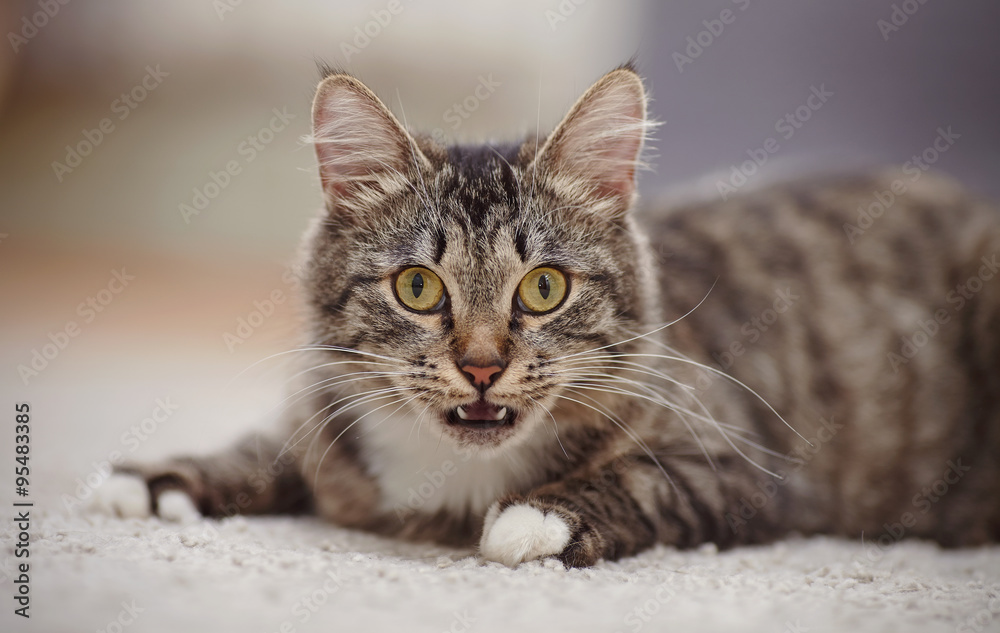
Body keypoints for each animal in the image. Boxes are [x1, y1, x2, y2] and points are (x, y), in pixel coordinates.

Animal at [94, 63, 1000, 568]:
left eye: (542, 289)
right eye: (417, 287)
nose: (482, 365)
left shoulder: (747, 467)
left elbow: (640, 478)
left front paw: (533, 520)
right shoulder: (323, 413)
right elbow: (264, 446)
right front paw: (154, 482)